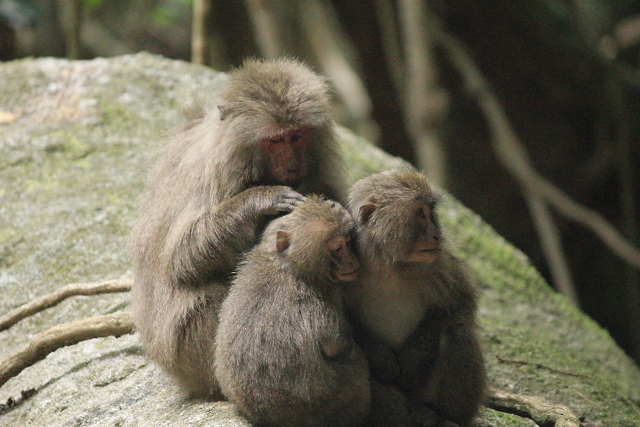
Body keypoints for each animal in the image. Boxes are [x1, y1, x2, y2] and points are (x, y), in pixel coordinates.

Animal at [129, 57, 344, 398]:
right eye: (275, 140)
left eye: (298, 135)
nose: (293, 166)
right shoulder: (210, 174)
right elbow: (180, 257)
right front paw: (261, 199)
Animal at [214, 197, 370, 427]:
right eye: (337, 248)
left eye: (348, 243)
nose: (351, 260)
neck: (288, 265)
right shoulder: (313, 298)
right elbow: (336, 343)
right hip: (331, 401)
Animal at [344, 171, 484, 427]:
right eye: (420, 213)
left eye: (431, 213)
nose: (436, 234)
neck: (389, 263)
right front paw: (385, 362)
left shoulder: (441, 263)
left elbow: (458, 304)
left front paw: (411, 364)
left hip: (425, 394)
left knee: (457, 333)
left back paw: (441, 415)